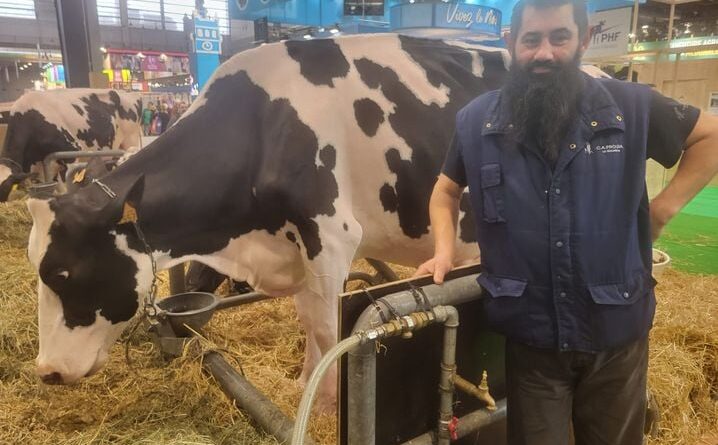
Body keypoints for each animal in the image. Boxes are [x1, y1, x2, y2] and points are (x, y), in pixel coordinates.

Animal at [25, 33, 516, 410]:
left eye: (62, 272)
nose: (47, 371)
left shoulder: (331, 236)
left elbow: (329, 328)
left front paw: (328, 405)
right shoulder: (293, 248)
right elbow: (309, 321)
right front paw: (306, 388)